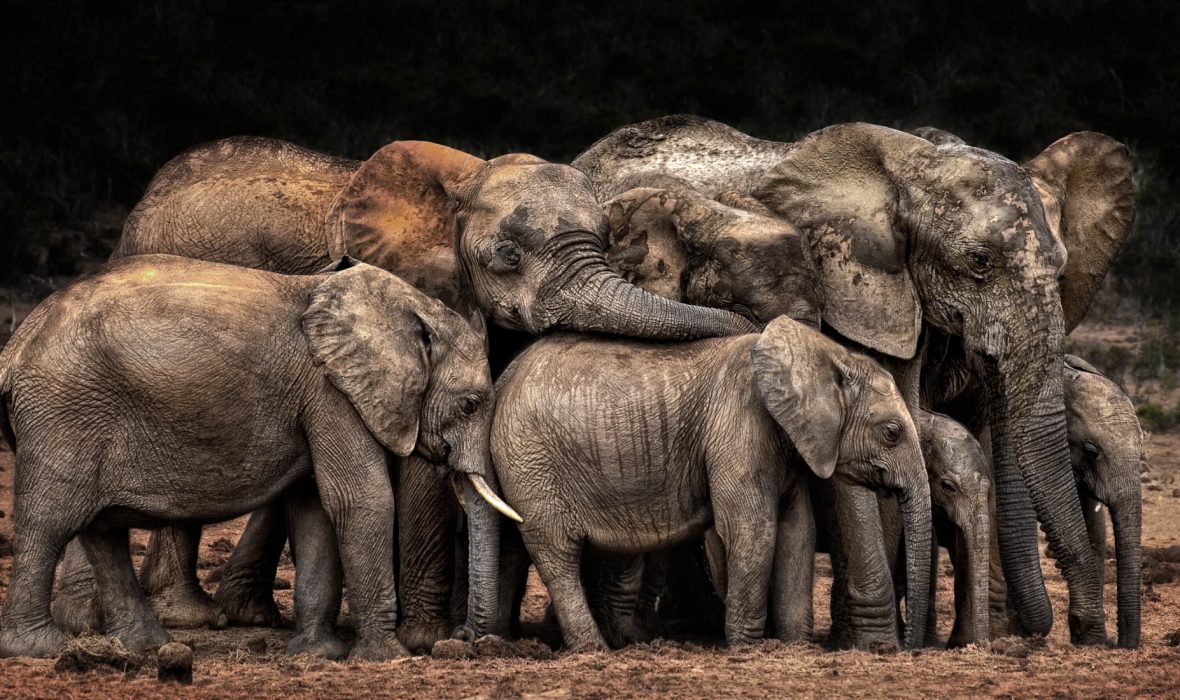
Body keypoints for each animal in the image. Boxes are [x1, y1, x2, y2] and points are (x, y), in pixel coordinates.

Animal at [0, 256, 514, 661]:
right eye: (471, 404)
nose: (464, 638)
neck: (411, 308)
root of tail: (15, 347)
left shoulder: (317, 399)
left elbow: (315, 510)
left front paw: (317, 655)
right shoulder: (331, 393)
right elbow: (360, 501)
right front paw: (388, 658)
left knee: (102, 531)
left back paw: (146, 647)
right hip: (63, 413)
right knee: (50, 522)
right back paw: (39, 648)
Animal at [50, 135, 750, 651]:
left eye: (605, 242)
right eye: (505, 256)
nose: (746, 325)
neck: (466, 180)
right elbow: (420, 461)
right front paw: (425, 640)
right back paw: (163, 621)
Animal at [488, 316, 929, 651]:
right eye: (891, 433)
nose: (910, 648)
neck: (828, 355)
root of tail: (504, 376)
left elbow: (797, 531)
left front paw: (796, 647)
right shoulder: (740, 425)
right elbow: (753, 531)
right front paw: (748, 648)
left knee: (517, 547)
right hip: (532, 460)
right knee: (556, 551)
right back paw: (593, 649)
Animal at [575, 114, 1137, 642]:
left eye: (1062, 270)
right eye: (979, 261)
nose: (1088, 634)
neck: (913, 168)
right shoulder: (853, 291)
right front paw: (878, 642)